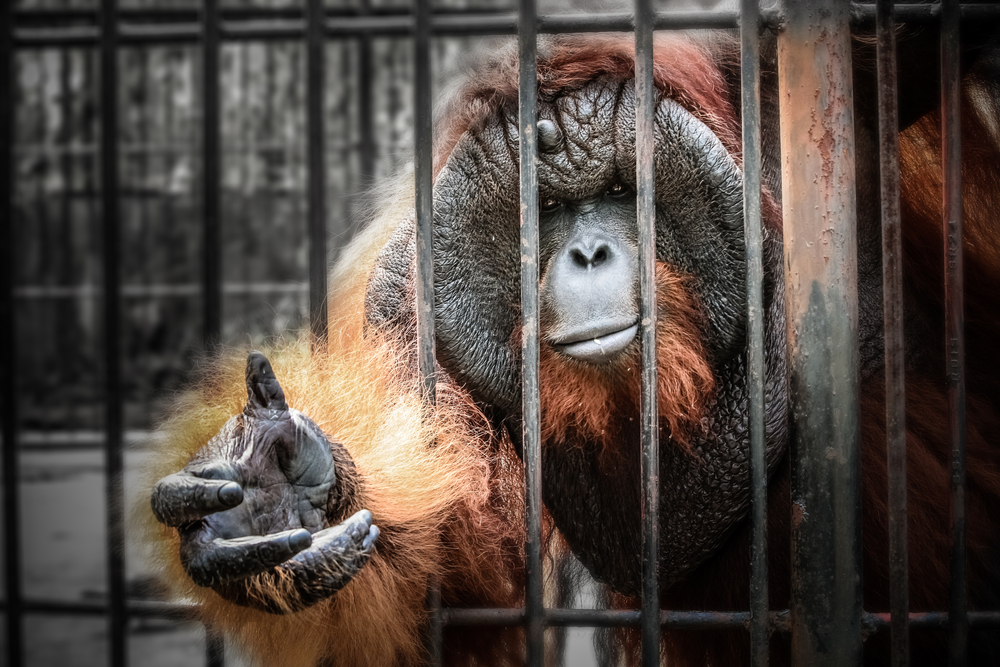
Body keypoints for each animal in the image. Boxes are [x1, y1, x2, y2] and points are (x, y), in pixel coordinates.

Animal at [141, 28, 1000, 667]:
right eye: (549, 212)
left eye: (621, 192)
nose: (588, 251)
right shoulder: (395, 298)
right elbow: (455, 590)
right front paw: (278, 488)